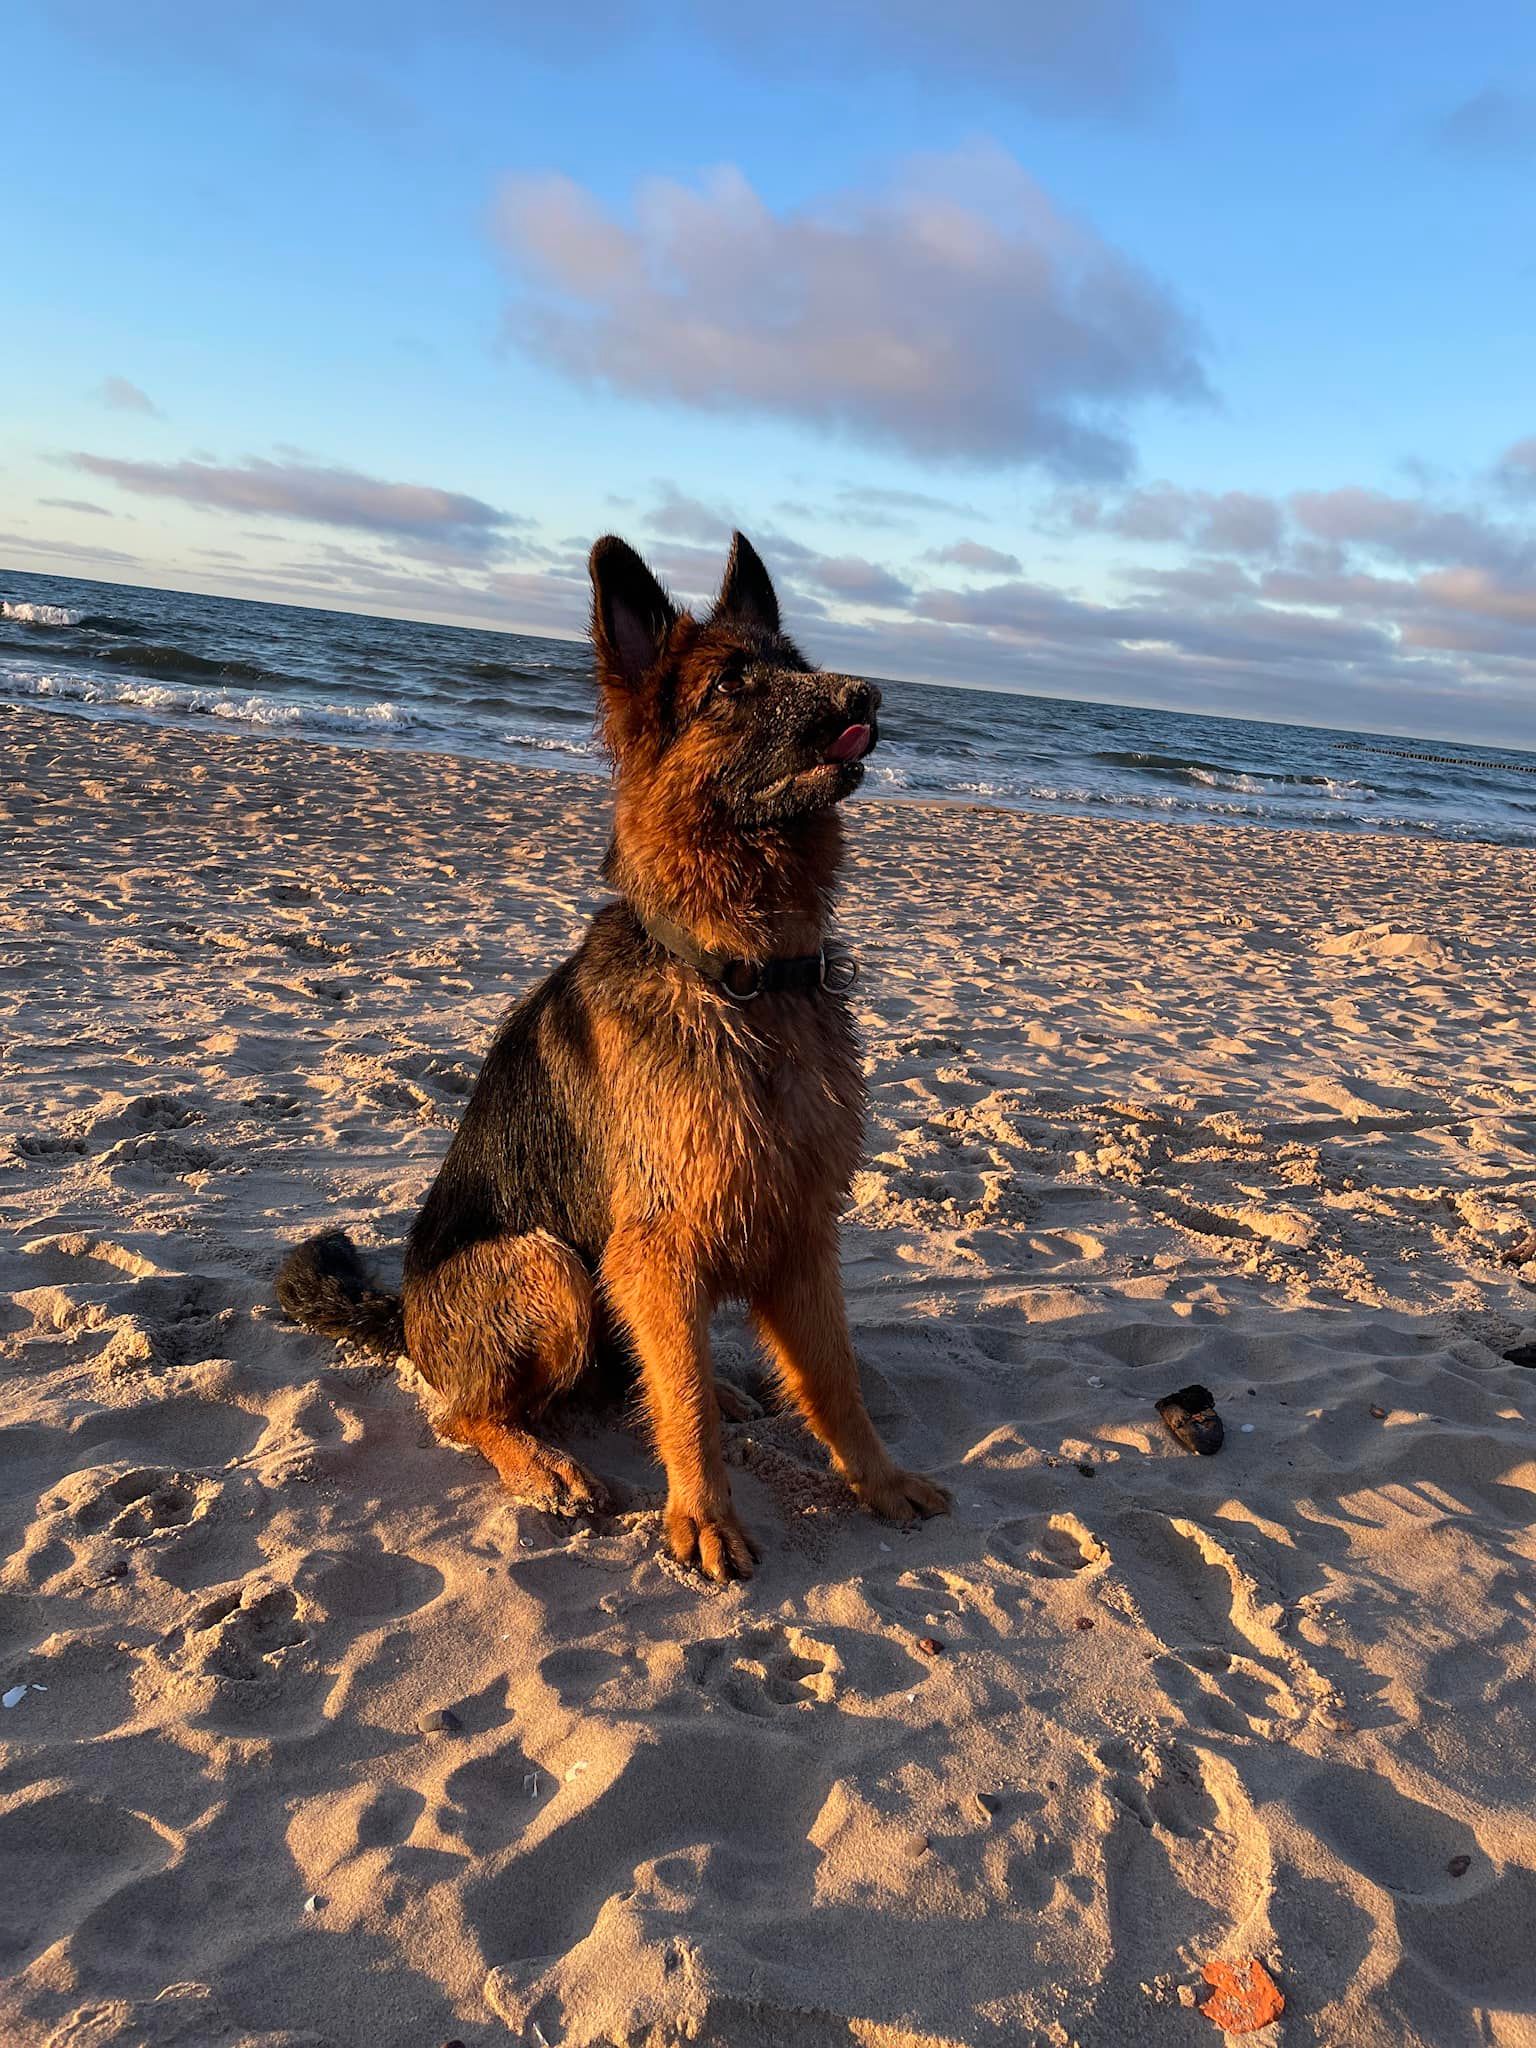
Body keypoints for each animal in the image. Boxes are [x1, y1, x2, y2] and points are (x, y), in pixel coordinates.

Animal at [276, 532, 950, 1580]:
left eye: (797, 667)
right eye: (730, 687)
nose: (867, 696)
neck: (739, 975)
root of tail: (407, 1315)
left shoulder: (801, 1231)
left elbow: (834, 1381)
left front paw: (877, 1481)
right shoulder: (658, 1250)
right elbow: (684, 1405)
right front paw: (703, 1516)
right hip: (547, 1266)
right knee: (467, 1414)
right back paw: (539, 1461)